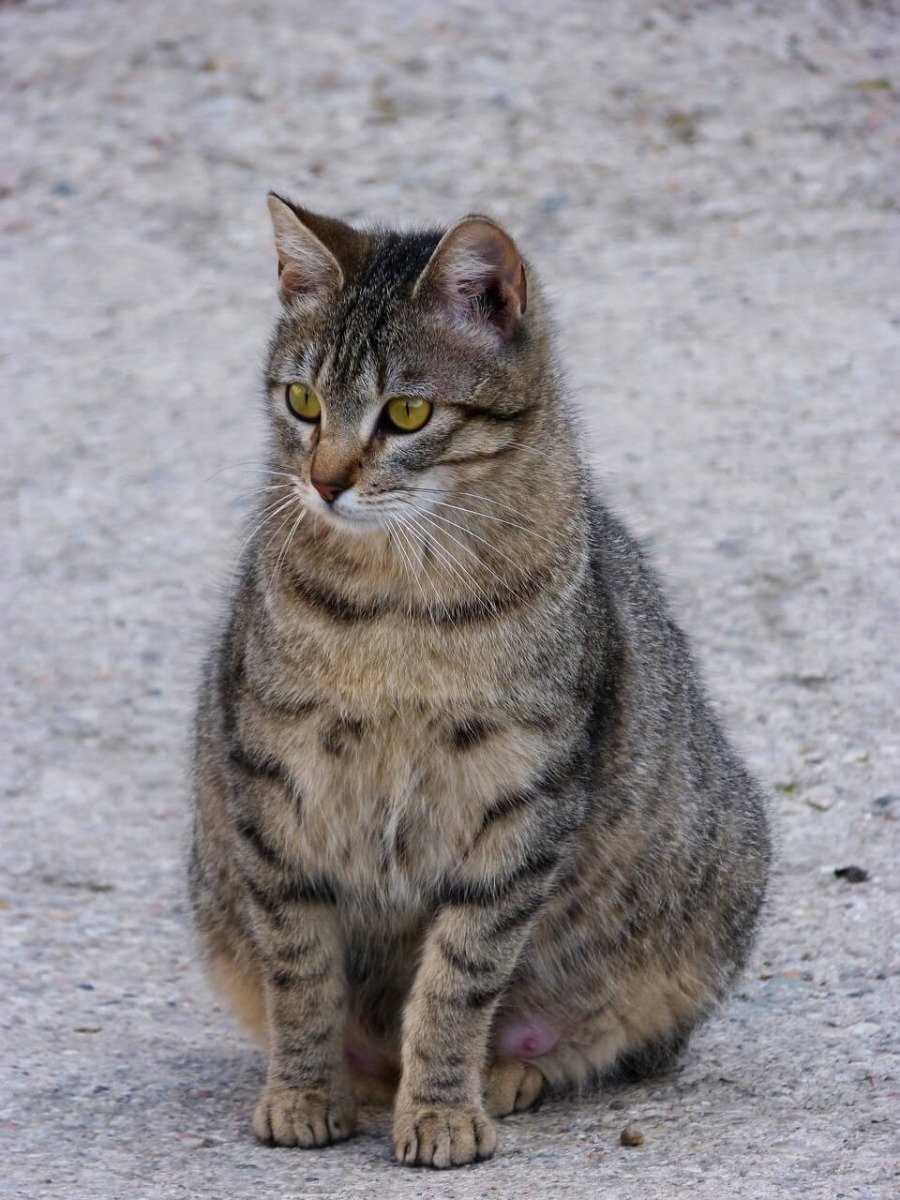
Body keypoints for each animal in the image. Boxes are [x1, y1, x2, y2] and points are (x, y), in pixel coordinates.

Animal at [187, 192, 772, 1166]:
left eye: (407, 412)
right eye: (302, 400)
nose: (323, 482)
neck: (395, 601)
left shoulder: (520, 798)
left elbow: (457, 980)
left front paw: (440, 1109)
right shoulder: (272, 783)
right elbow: (301, 973)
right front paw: (304, 1092)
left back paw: (506, 1074)